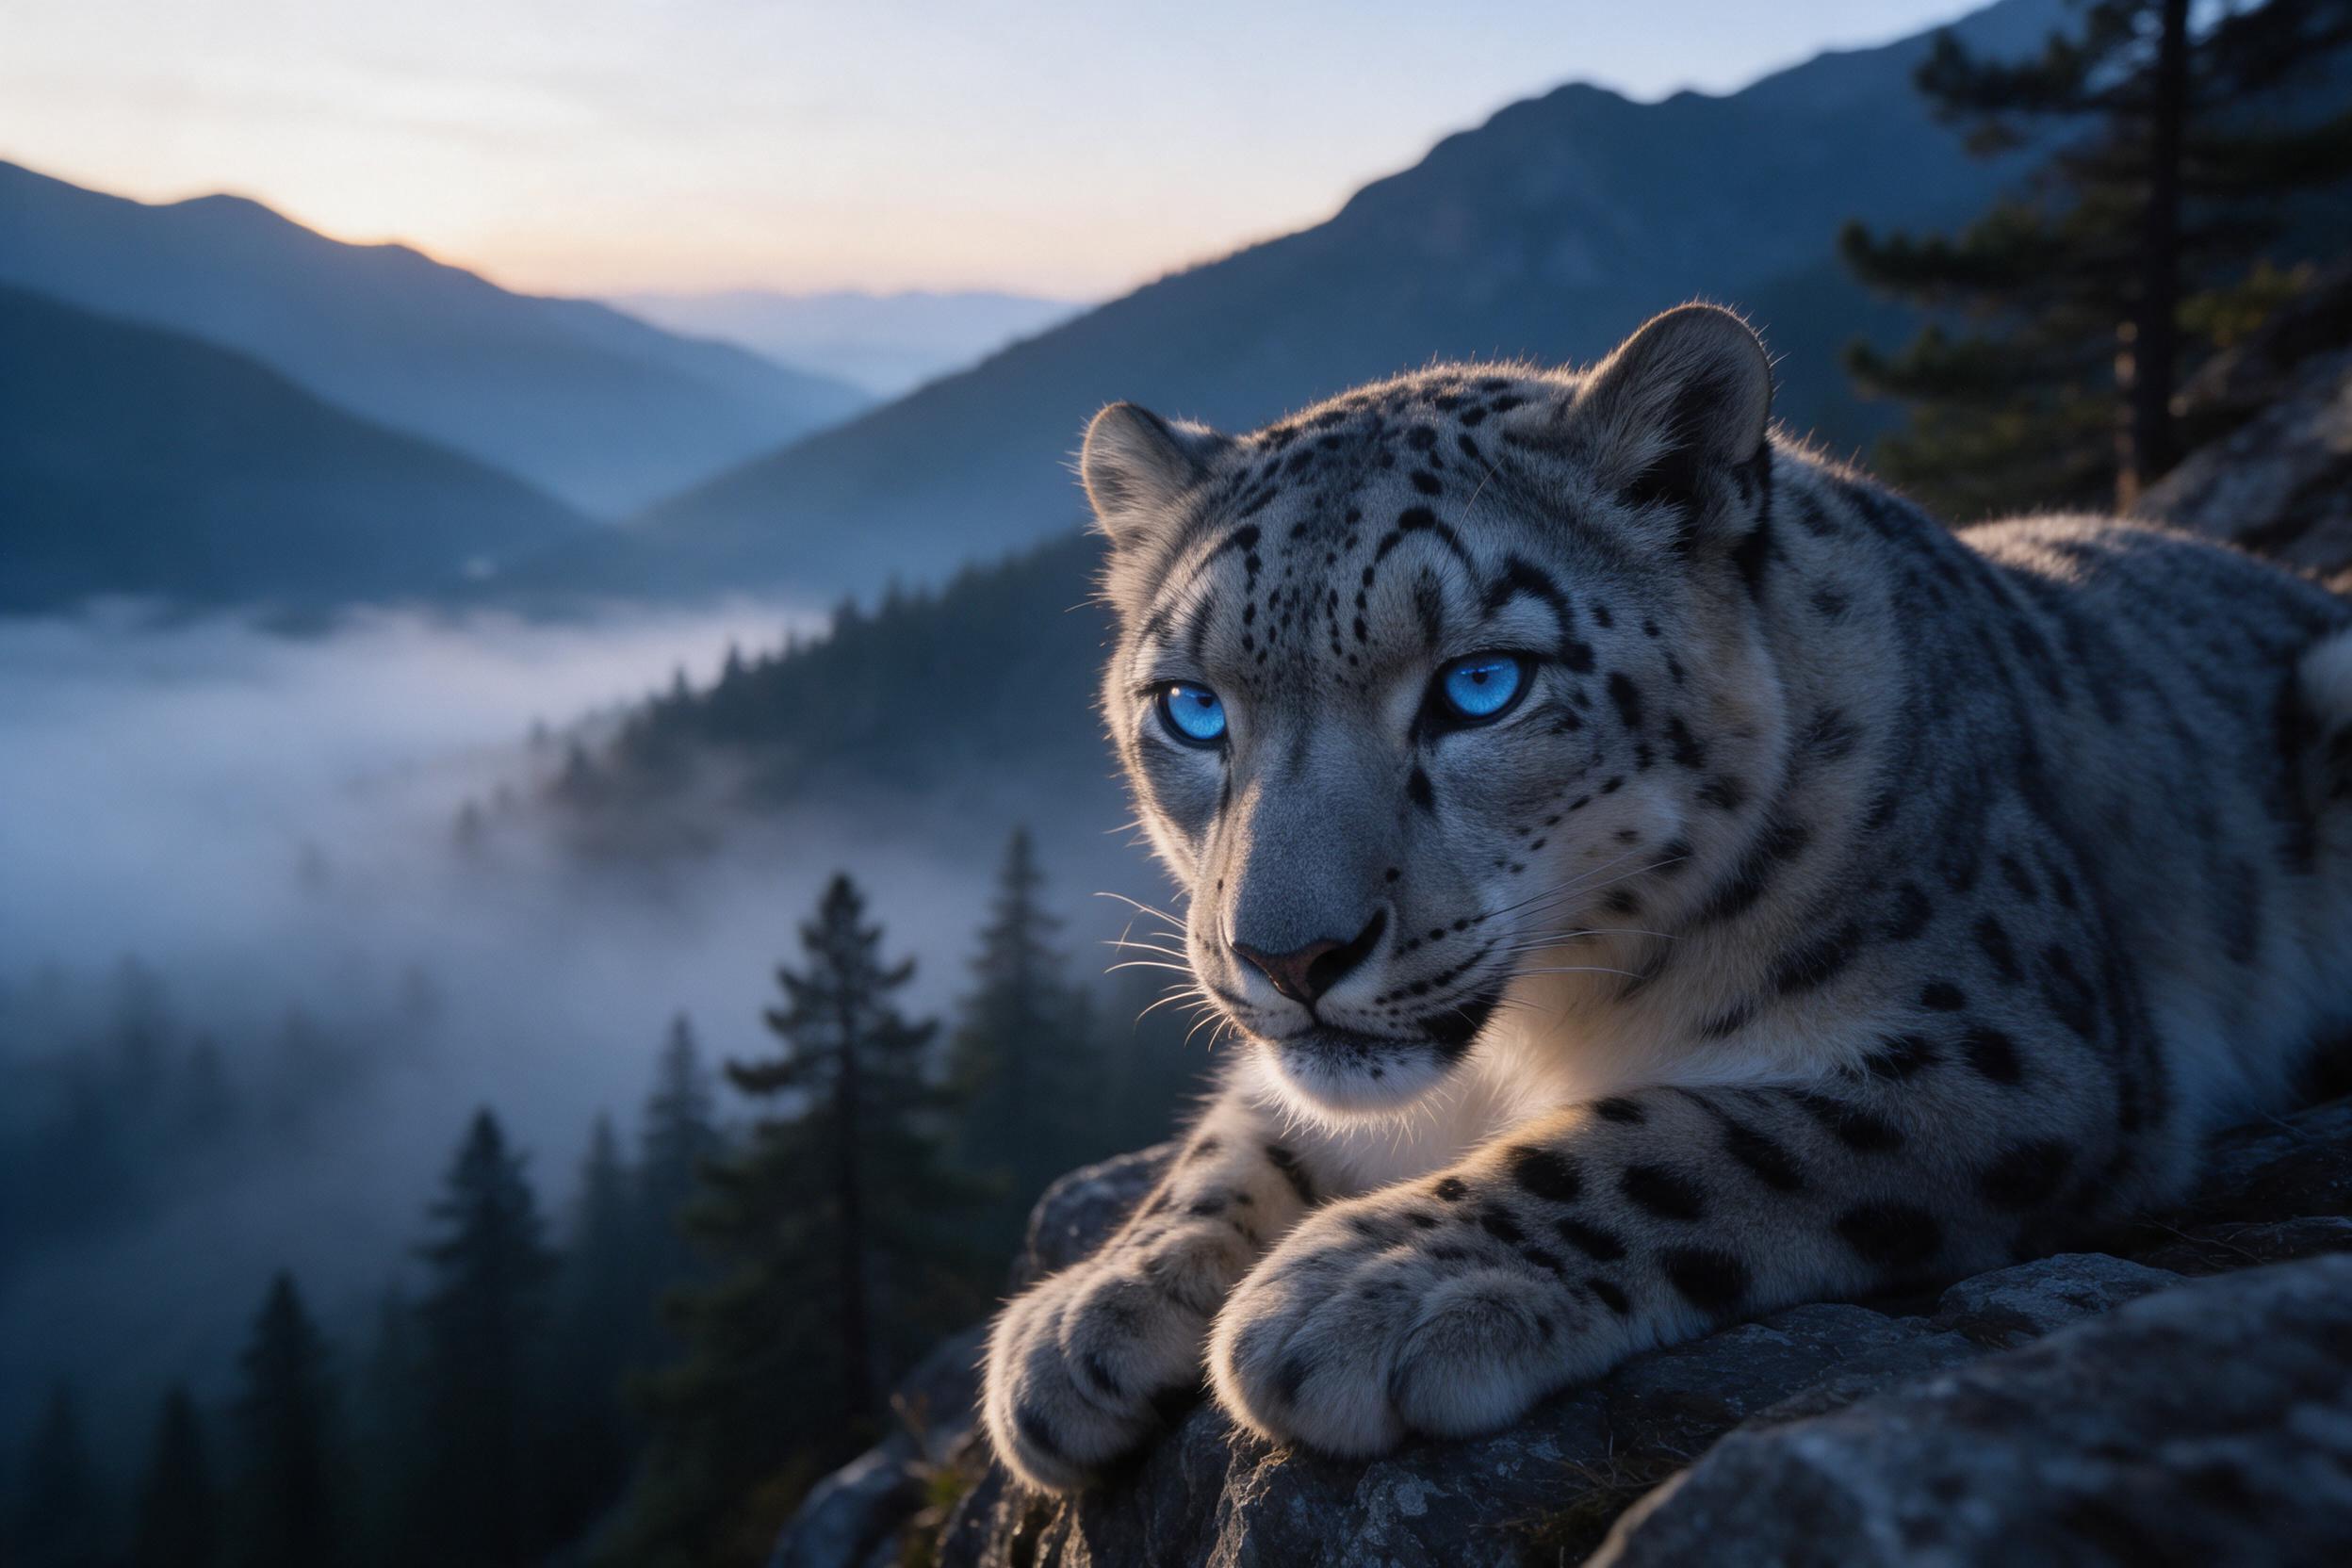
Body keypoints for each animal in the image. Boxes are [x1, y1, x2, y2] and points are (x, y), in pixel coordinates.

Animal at [980, 303, 2352, 1492]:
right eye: (1191, 706)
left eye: (1481, 684)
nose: (1289, 957)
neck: (1528, 1044)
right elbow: (1237, 1135)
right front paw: (1083, 1316)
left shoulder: (2010, 1050)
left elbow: (1682, 1136)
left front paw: (1367, 1289)